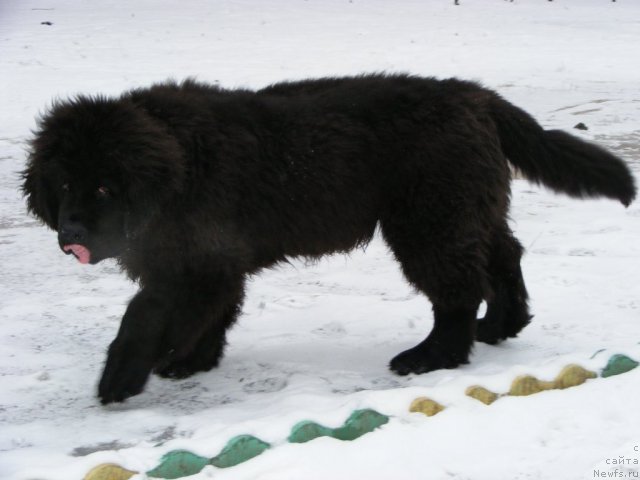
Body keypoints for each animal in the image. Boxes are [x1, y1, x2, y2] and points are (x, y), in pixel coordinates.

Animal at [21, 74, 636, 404]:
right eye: (65, 184)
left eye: (105, 186)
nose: (71, 233)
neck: (181, 165)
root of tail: (477, 97)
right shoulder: (212, 263)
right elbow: (212, 312)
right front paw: (193, 361)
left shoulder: (197, 261)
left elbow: (144, 315)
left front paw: (122, 377)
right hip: (469, 208)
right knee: (504, 258)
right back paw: (501, 325)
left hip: (429, 220)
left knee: (458, 289)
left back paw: (432, 356)